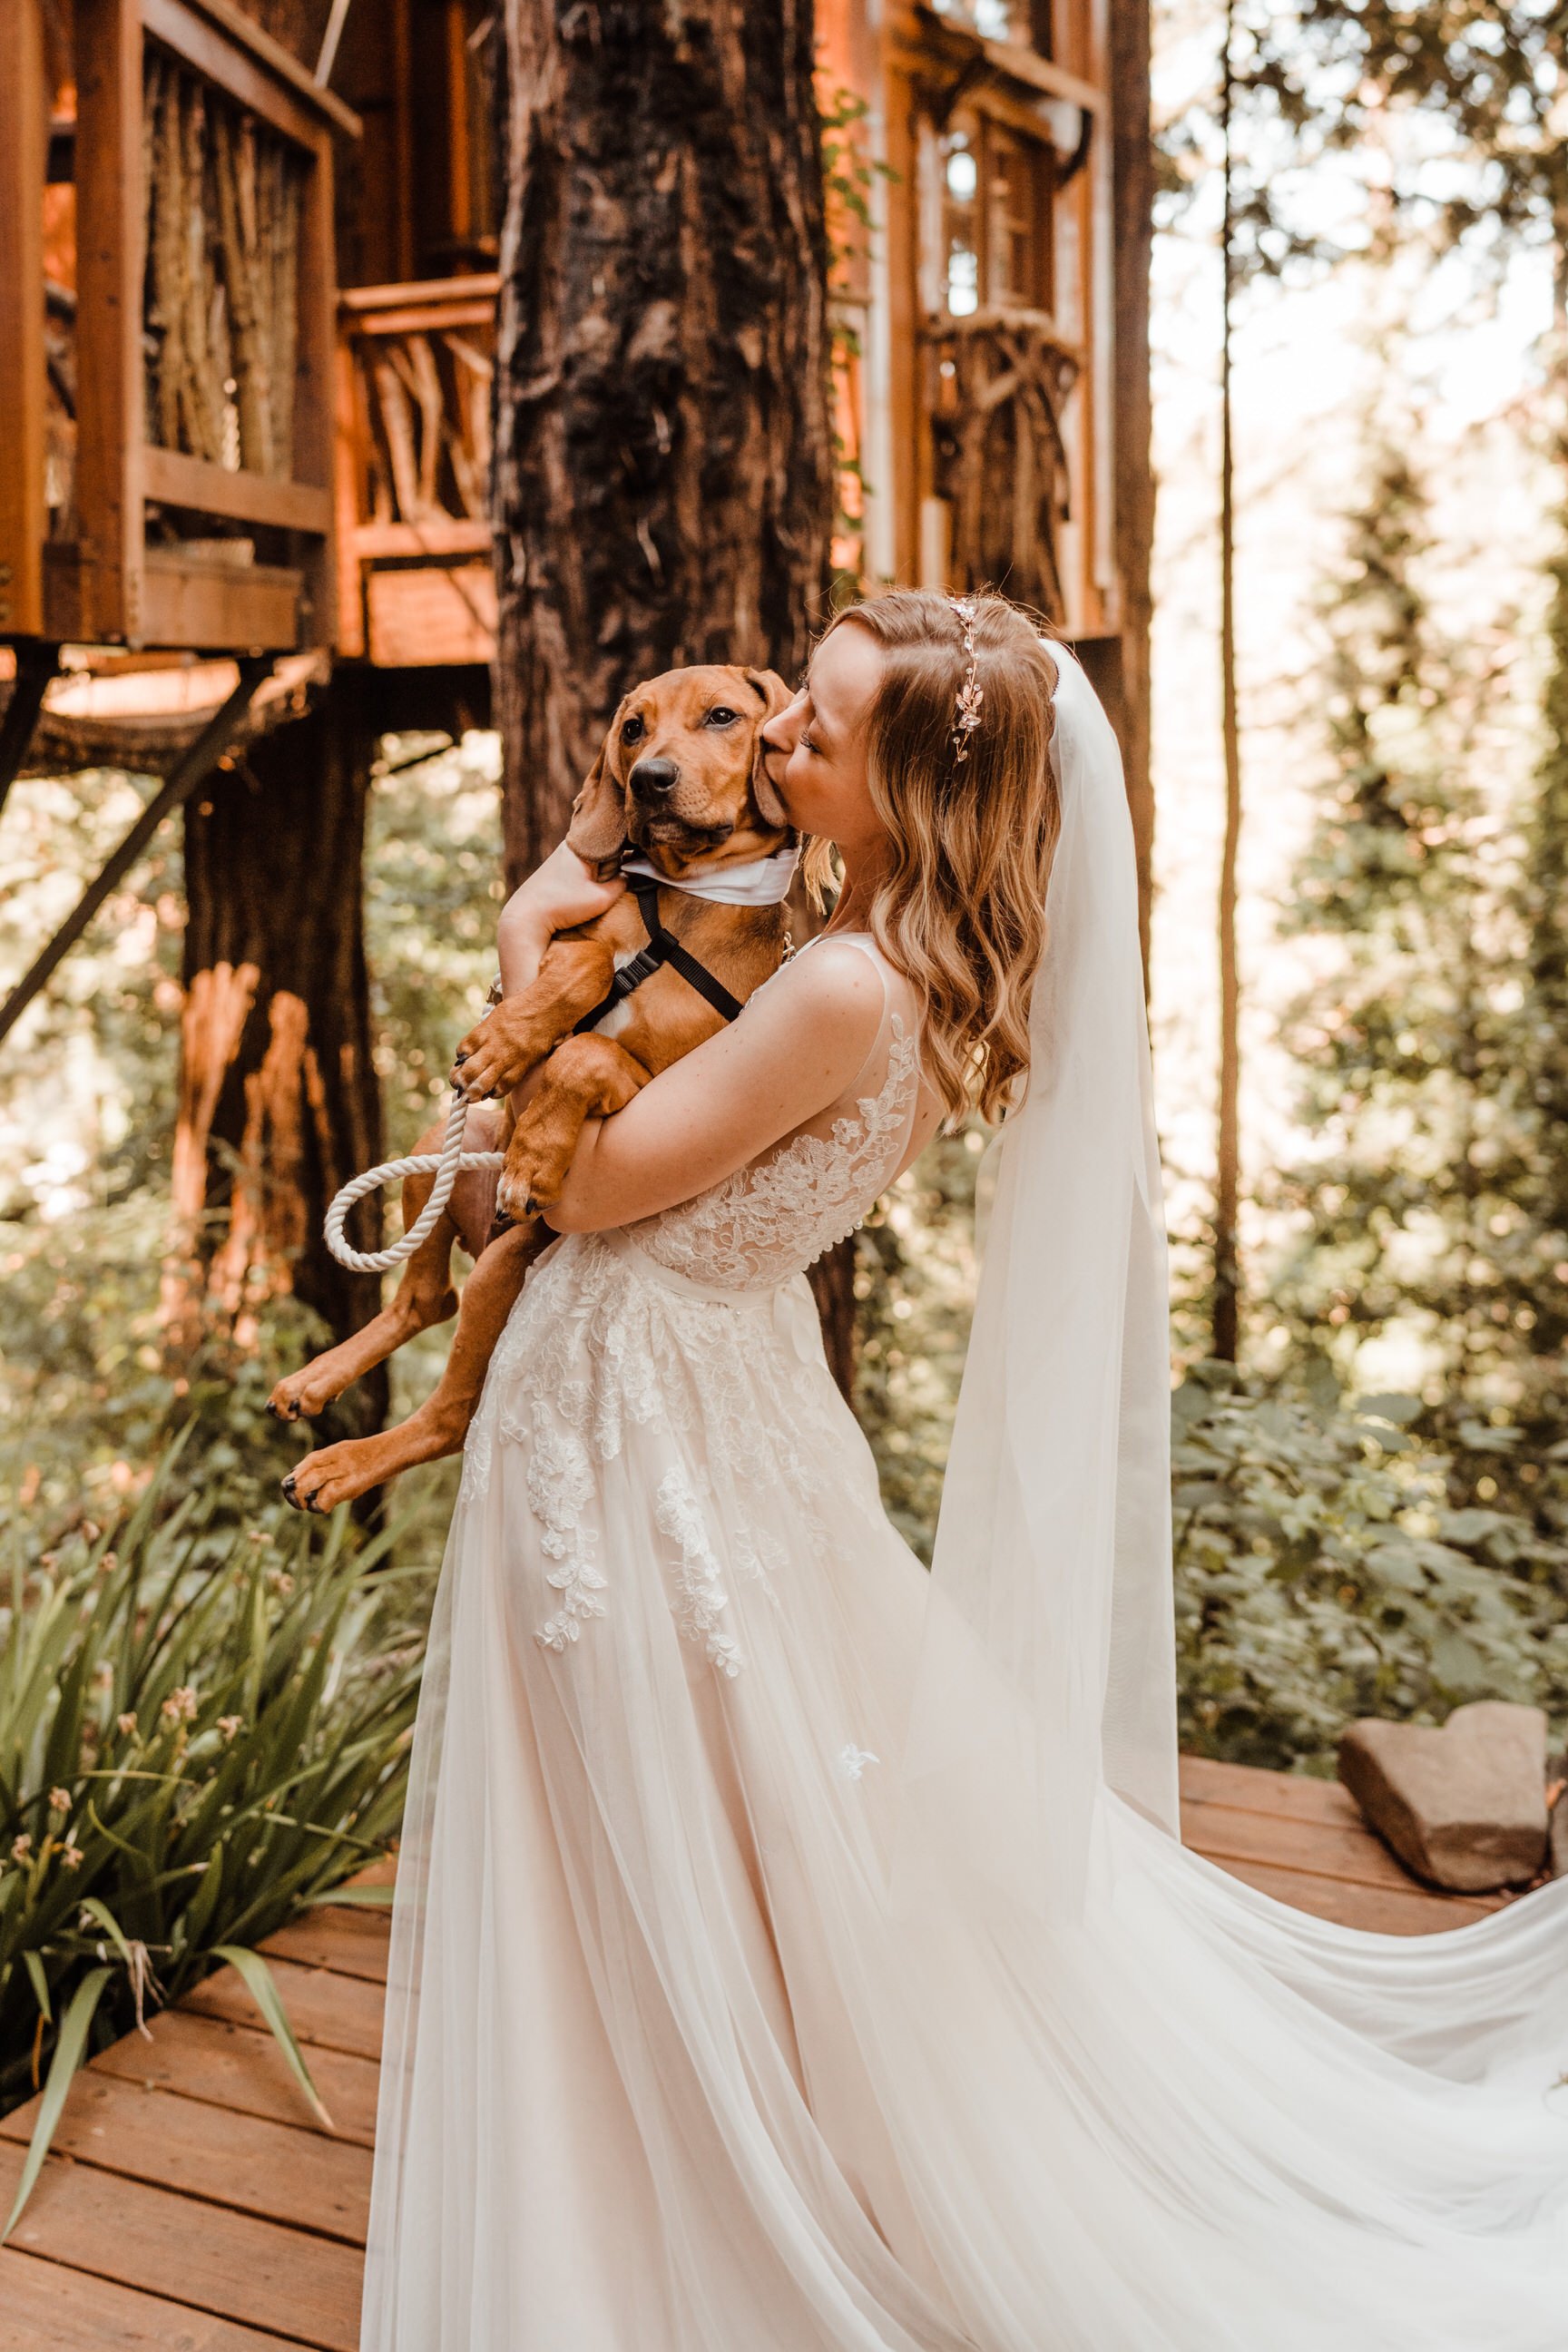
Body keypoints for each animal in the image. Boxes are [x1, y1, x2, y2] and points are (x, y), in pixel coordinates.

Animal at [270, 668, 799, 1504]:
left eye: (722, 716)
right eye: (632, 728)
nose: (649, 781)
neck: (683, 904)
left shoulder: (671, 1088)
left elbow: (588, 1054)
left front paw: (538, 1156)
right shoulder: (574, 933)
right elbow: (585, 962)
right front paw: (505, 1041)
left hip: (505, 1262)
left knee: (451, 1413)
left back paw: (339, 1464)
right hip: (453, 1145)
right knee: (425, 1298)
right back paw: (315, 1382)